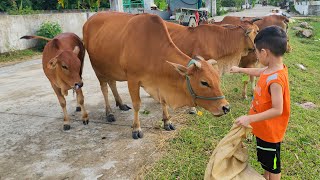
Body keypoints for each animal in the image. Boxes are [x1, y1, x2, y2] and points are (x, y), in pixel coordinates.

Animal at [84, 11, 230, 139]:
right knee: (104, 89)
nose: (226, 107)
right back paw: (109, 113)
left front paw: (167, 122)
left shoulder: (160, 82)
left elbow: (163, 101)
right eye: (204, 82)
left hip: (110, 68)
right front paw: (136, 129)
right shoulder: (132, 79)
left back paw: (121, 104)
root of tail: (89, 20)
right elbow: (137, 104)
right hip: (98, 69)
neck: (151, 48)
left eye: (218, 79)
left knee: (112, 83)